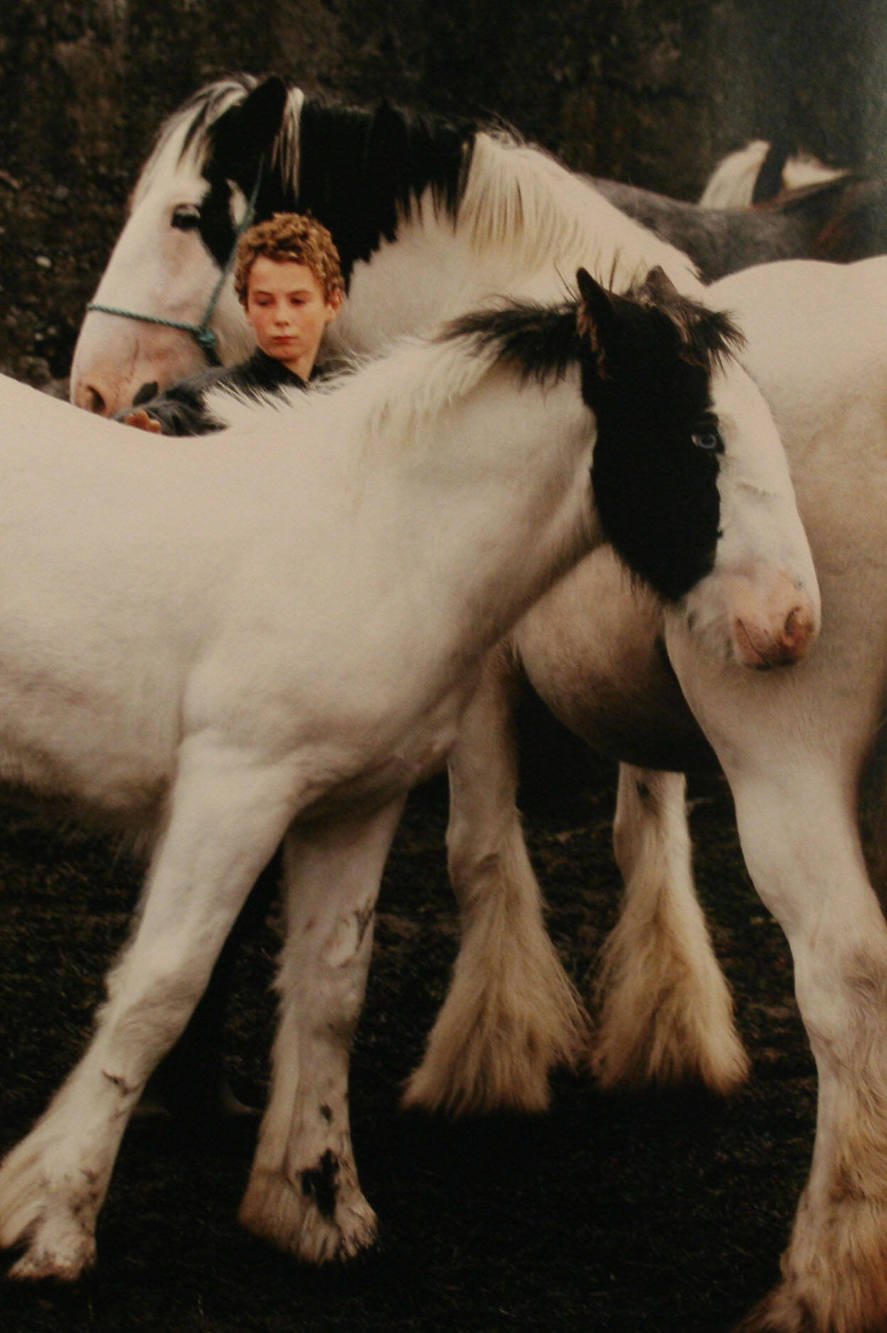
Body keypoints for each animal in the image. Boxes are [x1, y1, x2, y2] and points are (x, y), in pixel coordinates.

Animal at [0, 270, 810, 1279]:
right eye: (702, 435)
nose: (790, 621)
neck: (371, 538)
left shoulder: (354, 804)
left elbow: (329, 991)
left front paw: (314, 1203)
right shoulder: (233, 793)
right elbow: (160, 989)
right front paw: (52, 1222)